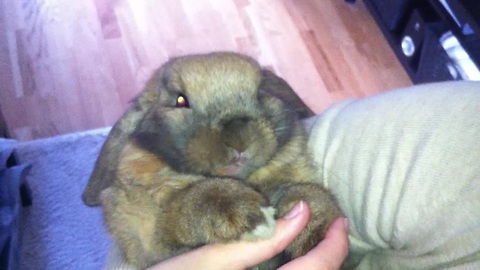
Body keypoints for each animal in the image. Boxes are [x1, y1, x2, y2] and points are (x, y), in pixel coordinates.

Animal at [82, 51, 342, 268]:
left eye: (260, 92)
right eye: (180, 100)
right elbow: (185, 204)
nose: (239, 139)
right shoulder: (152, 237)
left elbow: (309, 193)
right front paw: (249, 216)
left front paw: (311, 228)